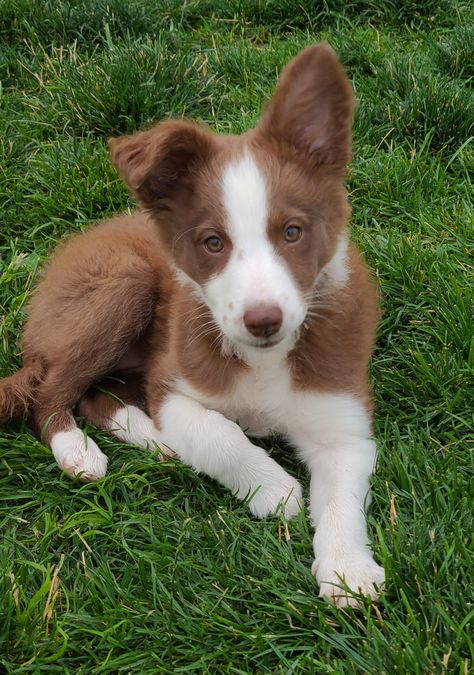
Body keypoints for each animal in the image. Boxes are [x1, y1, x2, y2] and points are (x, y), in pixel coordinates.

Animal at [0, 46, 386, 608]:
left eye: (293, 232)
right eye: (213, 243)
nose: (262, 320)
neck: (264, 359)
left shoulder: (342, 418)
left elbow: (343, 497)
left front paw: (347, 570)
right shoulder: (174, 384)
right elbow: (218, 434)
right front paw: (277, 490)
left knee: (95, 395)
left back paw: (152, 439)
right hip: (123, 284)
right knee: (50, 393)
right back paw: (80, 451)